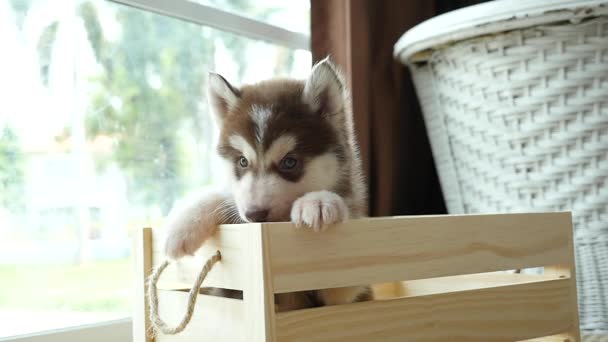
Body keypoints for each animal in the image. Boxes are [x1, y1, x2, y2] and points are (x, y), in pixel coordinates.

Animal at [164, 58, 368, 310]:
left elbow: (343, 283)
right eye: (242, 161)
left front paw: (318, 201)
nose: (254, 214)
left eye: (289, 162)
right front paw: (181, 225)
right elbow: (223, 197)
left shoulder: (345, 296)